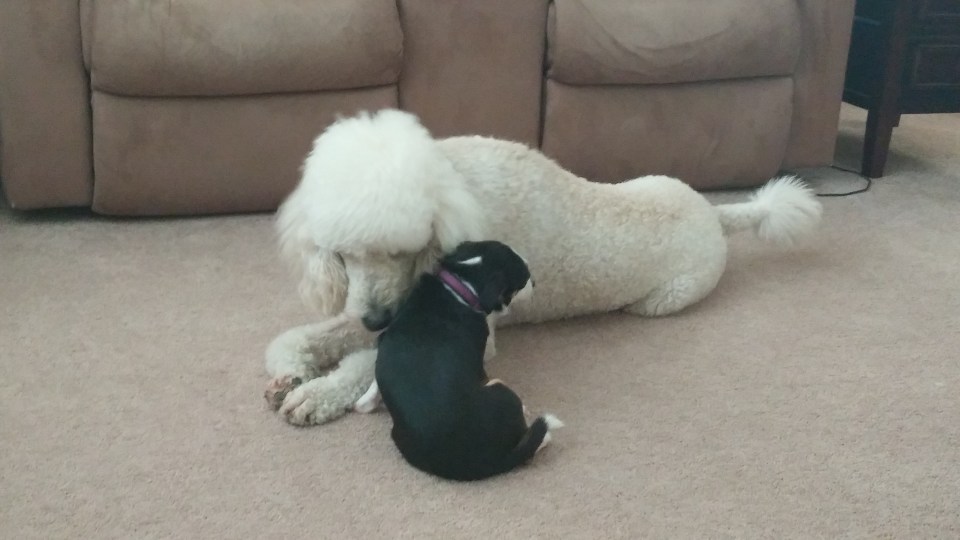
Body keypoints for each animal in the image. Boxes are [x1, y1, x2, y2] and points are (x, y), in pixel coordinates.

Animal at [265, 108, 823, 426]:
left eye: (403, 249)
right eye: (343, 253)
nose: (376, 319)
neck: (455, 184)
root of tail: (716, 213)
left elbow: (369, 361)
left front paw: (316, 394)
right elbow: (305, 338)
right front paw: (291, 372)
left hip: (665, 300)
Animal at [364, 240, 561, 481]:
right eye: (524, 279)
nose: (535, 283)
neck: (461, 285)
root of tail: (492, 462)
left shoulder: (383, 339)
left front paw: (366, 400)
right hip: (501, 389)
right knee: (531, 442)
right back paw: (541, 432)